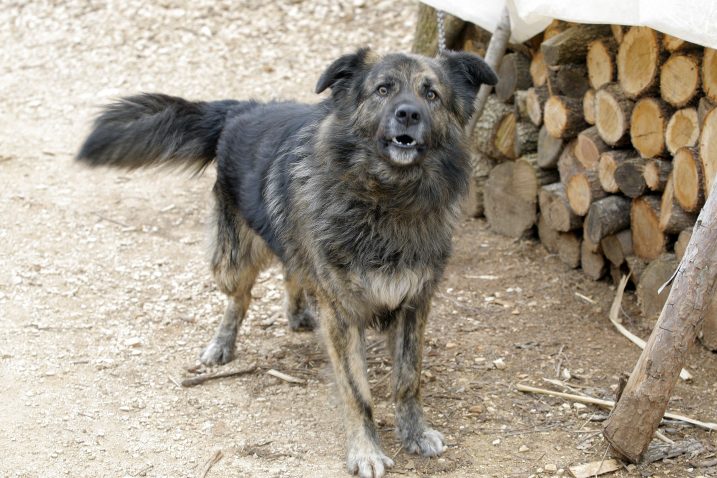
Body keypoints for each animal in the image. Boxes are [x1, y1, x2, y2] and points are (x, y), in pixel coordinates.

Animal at [77, 49, 492, 478]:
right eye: (383, 89)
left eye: (431, 94)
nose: (409, 114)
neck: (388, 198)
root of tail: (243, 108)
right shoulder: (342, 315)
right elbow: (357, 392)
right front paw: (366, 451)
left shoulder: (414, 303)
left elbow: (408, 379)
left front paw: (415, 433)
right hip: (232, 262)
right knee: (240, 299)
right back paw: (221, 345)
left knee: (292, 268)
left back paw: (297, 312)